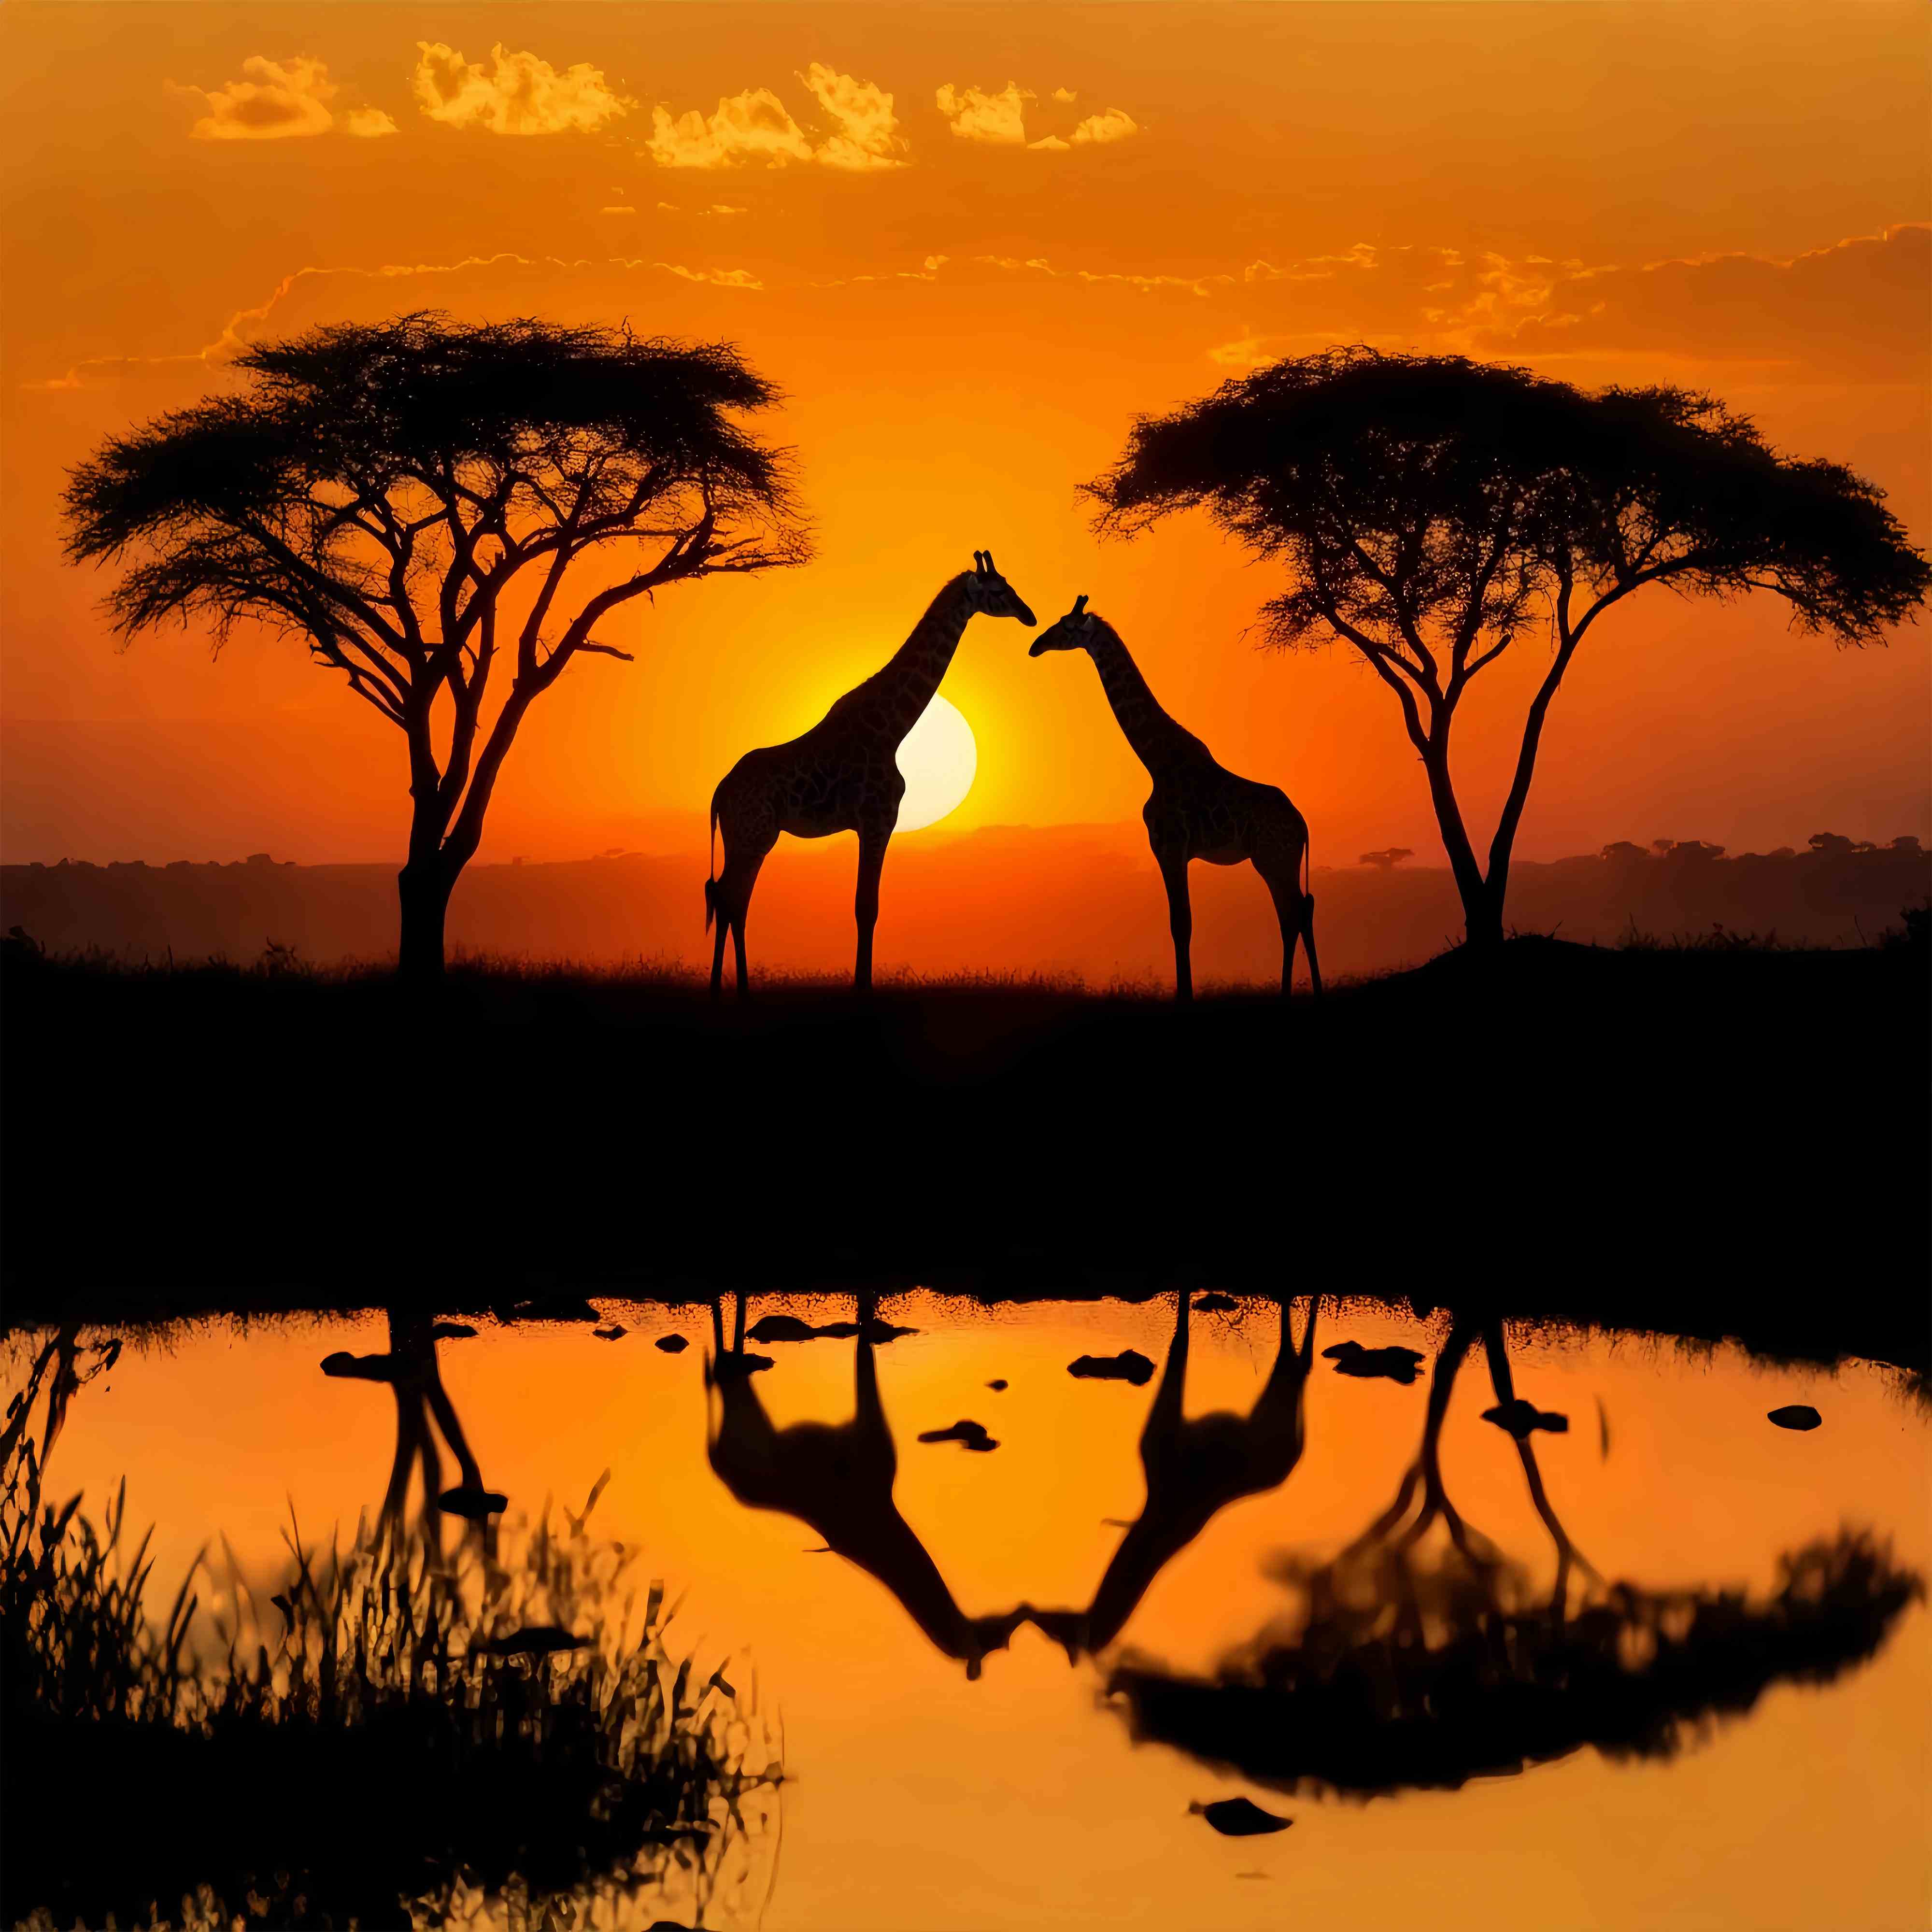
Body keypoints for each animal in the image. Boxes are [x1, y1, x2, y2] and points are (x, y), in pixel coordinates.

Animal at [705, 552, 1037, 994]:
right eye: (999, 590)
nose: (1030, 616)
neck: (892, 729)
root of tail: (720, 792)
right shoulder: (878, 820)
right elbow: (867, 907)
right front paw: (862, 989)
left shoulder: (872, 823)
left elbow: (867, 906)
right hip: (754, 835)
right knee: (730, 898)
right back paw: (730, 988)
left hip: (742, 836)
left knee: (729, 899)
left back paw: (731, 989)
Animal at [1029, 596, 1320, 1000]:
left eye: (1067, 627)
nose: (1036, 645)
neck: (1155, 759)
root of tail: (1302, 825)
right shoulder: (1173, 851)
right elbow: (1181, 923)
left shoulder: (1169, 847)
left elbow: (1180, 924)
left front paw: (1186, 997)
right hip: (1277, 860)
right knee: (1297, 912)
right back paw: (1299, 992)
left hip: (1273, 858)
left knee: (1296, 912)